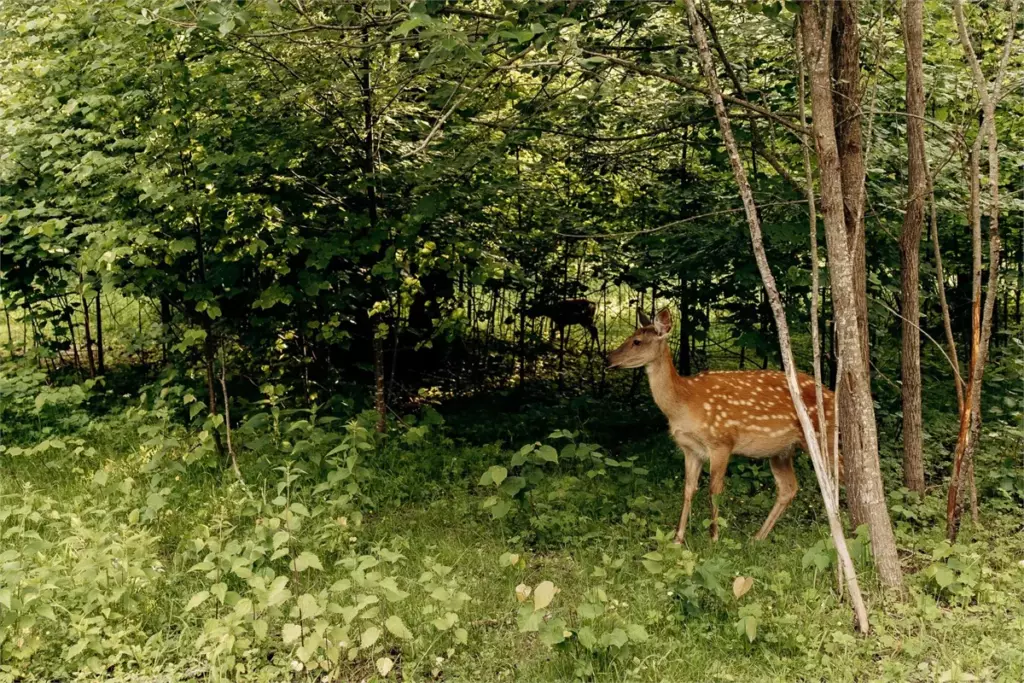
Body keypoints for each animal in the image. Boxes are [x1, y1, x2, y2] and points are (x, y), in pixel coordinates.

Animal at [607, 308, 838, 543]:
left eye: (637, 341)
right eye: (631, 336)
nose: (608, 357)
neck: (684, 403)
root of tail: (832, 395)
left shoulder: (721, 442)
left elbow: (714, 490)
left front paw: (714, 537)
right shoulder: (690, 449)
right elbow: (688, 489)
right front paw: (678, 538)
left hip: (824, 437)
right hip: (781, 451)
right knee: (788, 487)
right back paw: (757, 537)